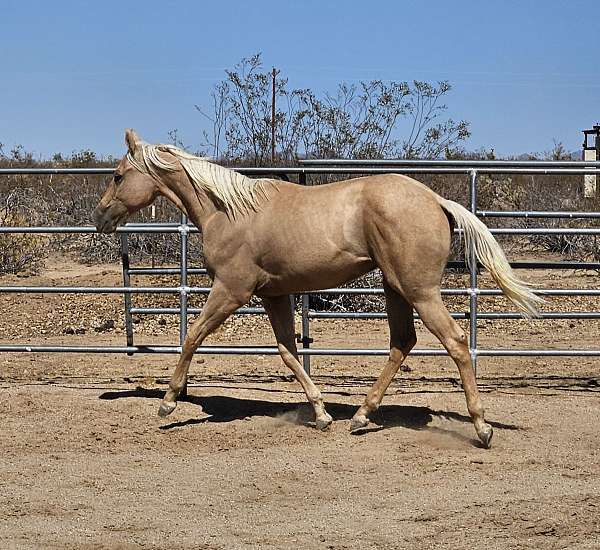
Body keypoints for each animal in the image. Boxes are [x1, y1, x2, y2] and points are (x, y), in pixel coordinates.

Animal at [94, 132, 544, 450]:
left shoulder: (231, 290)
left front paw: (168, 402)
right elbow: (288, 351)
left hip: (420, 291)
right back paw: (360, 416)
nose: (100, 217)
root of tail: (435, 199)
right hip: (396, 288)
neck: (228, 211)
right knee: (402, 343)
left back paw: (481, 428)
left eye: (117, 175)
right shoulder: (273, 295)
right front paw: (322, 414)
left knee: (455, 342)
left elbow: (192, 337)